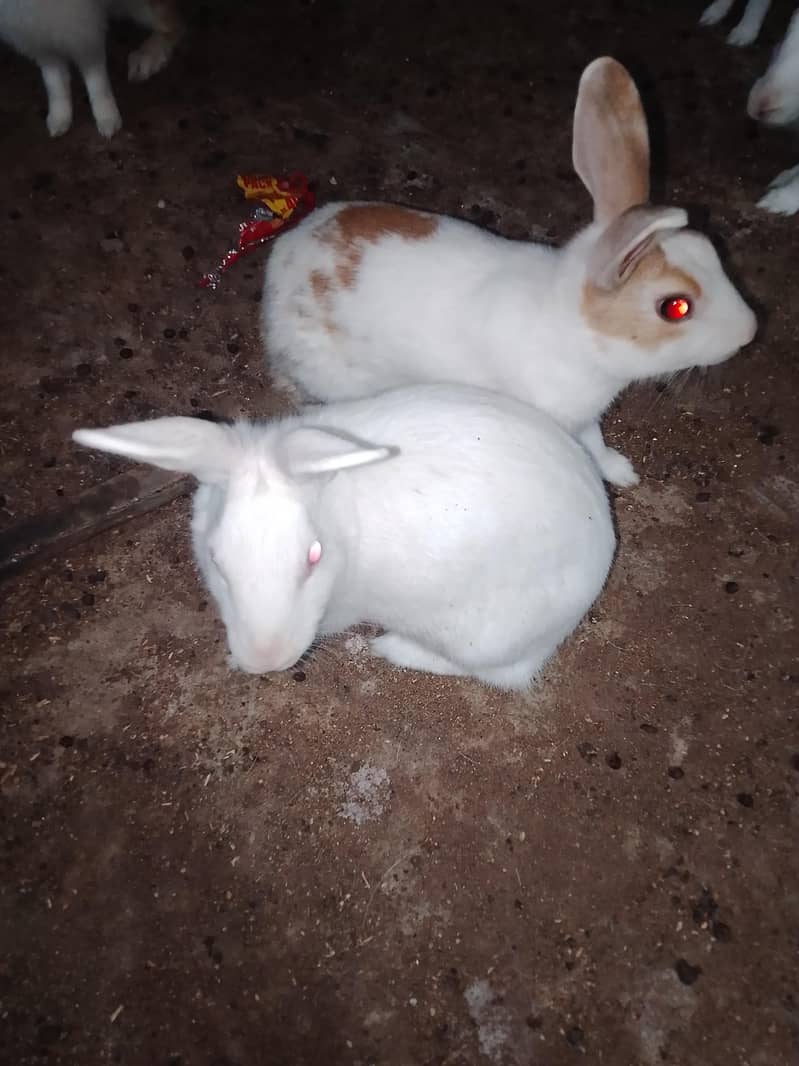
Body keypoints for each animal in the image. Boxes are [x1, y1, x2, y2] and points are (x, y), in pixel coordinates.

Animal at [0, 0, 182, 138]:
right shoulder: (41, 42)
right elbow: (54, 81)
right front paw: (58, 120)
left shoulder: (86, 32)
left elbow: (96, 80)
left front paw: (108, 121)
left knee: (173, 25)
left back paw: (146, 58)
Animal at [72, 384, 617, 691]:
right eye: (215, 558)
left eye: (313, 556)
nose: (265, 662)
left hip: (483, 636)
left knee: (500, 675)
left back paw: (393, 649)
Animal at [261, 57, 757, 491]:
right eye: (675, 307)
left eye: (708, 248)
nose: (749, 331)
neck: (572, 327)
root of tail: (282, 264)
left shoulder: (585, 416)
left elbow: (598, 444)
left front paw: (623, 472)